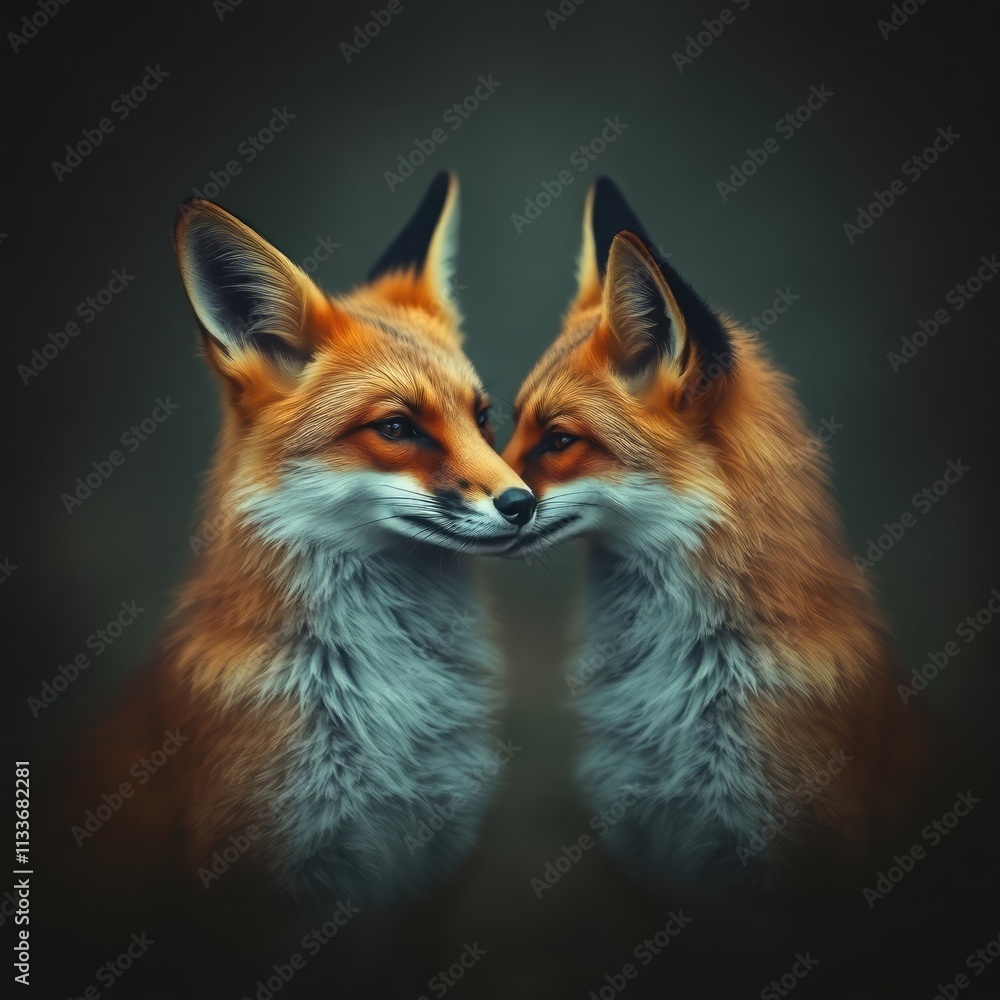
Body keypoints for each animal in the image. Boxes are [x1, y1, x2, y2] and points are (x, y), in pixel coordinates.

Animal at [68, 172, 537, 906]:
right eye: (397, 428)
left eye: (483, 417)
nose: (524, 504)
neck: (396, 705)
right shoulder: (268, 871)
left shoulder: (437, 864)